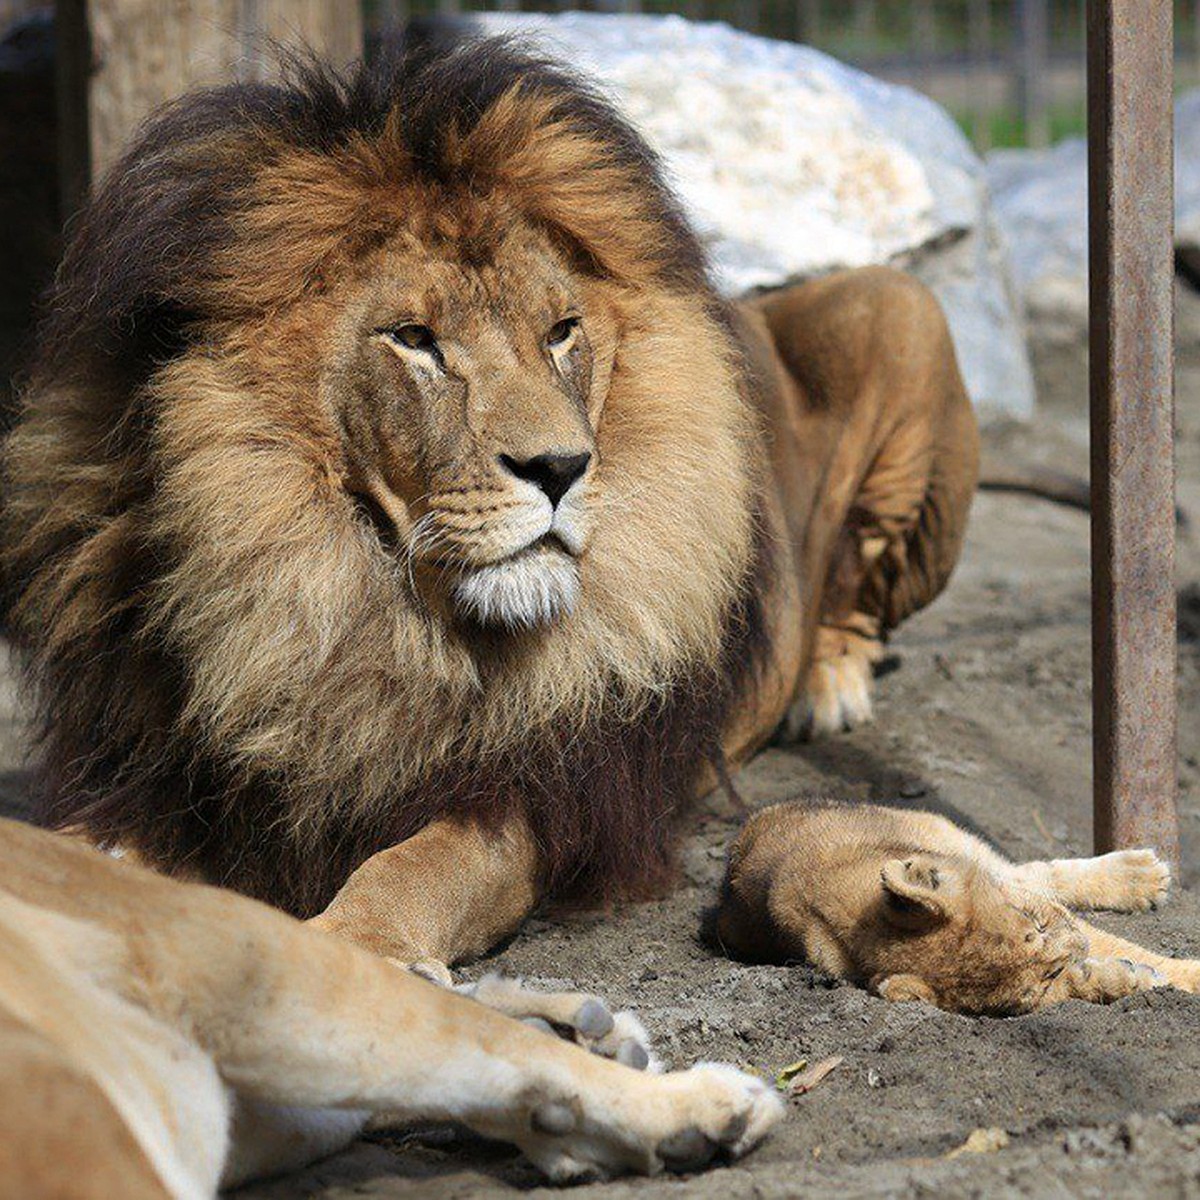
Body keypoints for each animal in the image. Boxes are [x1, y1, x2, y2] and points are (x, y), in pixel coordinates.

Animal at [0, 35, 974, 974]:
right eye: (414, 339)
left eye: (562, 331)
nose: (561, 467)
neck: (339, 596)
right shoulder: (166, 776)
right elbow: (65, 848)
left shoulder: (537, 795)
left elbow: (412, 871)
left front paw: (355, 949)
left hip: (903, 306)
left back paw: (830, 685)